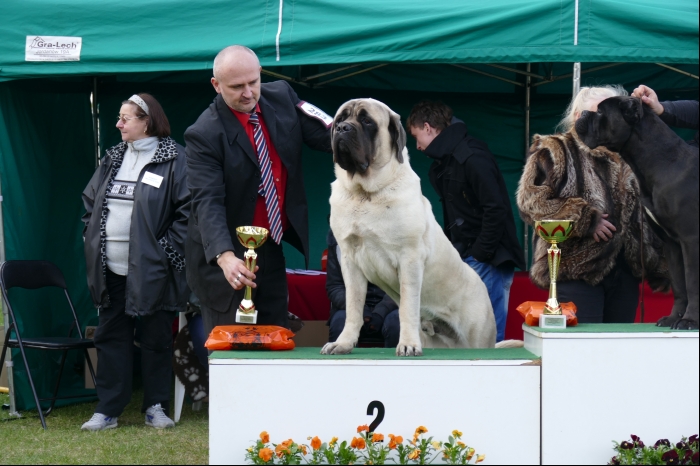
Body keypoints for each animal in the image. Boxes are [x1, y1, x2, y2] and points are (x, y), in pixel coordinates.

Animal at [322, 96, 504, 354]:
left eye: (367, 121)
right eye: (340, 118)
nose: (342, 128)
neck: (365, 194)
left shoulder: (409, 258)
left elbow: (407, 307)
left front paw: (407, 344)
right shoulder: (350, 261)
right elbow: (353, 308)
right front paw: (344, 343)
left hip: (478, 337)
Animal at [576, 94, 696, 330]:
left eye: (601, 111)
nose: (584, 113)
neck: (664, 162)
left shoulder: (690, 240)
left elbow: (692, 284)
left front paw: (689, 321)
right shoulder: (672, 243)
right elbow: (680, 285)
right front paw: (673, 318)